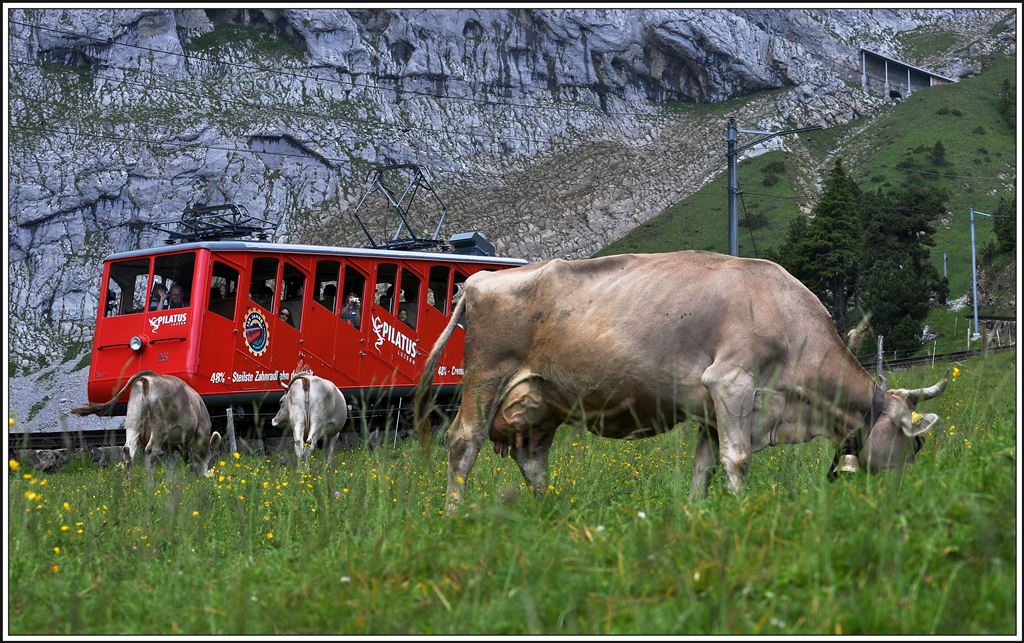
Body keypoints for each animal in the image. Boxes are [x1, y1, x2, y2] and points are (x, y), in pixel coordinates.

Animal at [70, 368, 222, 479]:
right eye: (211, 457)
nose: (201, 477)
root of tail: (150, 377)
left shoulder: (169, 445)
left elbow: (171, 464)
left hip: (133, 421)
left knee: (128, 450)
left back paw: (127, 484)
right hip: (159, 428)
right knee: (150, 452)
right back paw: (149, 487)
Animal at [417, 250, 950, 507]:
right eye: (914, 445)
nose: (907, 494)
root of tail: (479, 280)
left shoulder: (711, 412)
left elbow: (703, 468)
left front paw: (698, 515)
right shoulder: (731, 385)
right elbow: (736, 461)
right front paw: (742, 511)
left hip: (542, 400)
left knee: (532, 460)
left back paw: (550, 512)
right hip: (486, 378)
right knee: (463, 444)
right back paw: (454, 514)